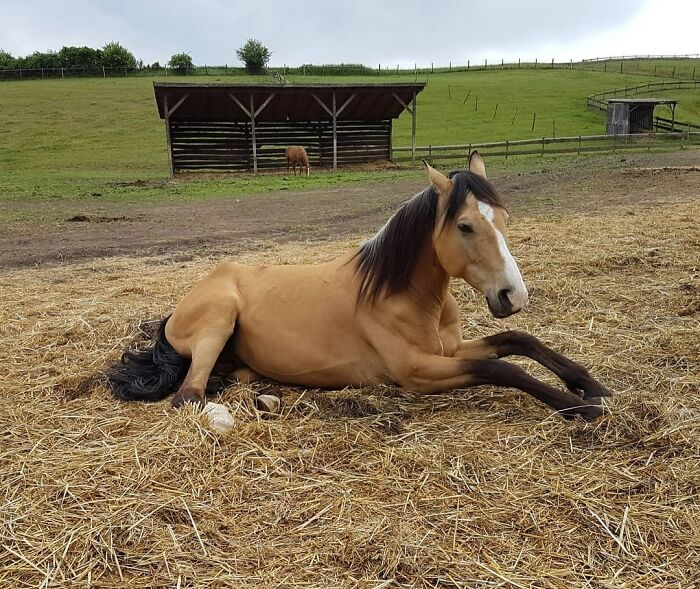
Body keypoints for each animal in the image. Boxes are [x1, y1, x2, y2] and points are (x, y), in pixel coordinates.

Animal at [107, 152, 610, 433]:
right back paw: (224, 417)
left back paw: (265, 398)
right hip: (220, 316)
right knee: (188, 396)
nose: (513, 296)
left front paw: (589, 384)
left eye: (504, 218)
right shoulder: (419, 371)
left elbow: (518, 341)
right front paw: (577, 406)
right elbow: (501, 368)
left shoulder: (448, 350)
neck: (404, 297)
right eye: (465, 226)